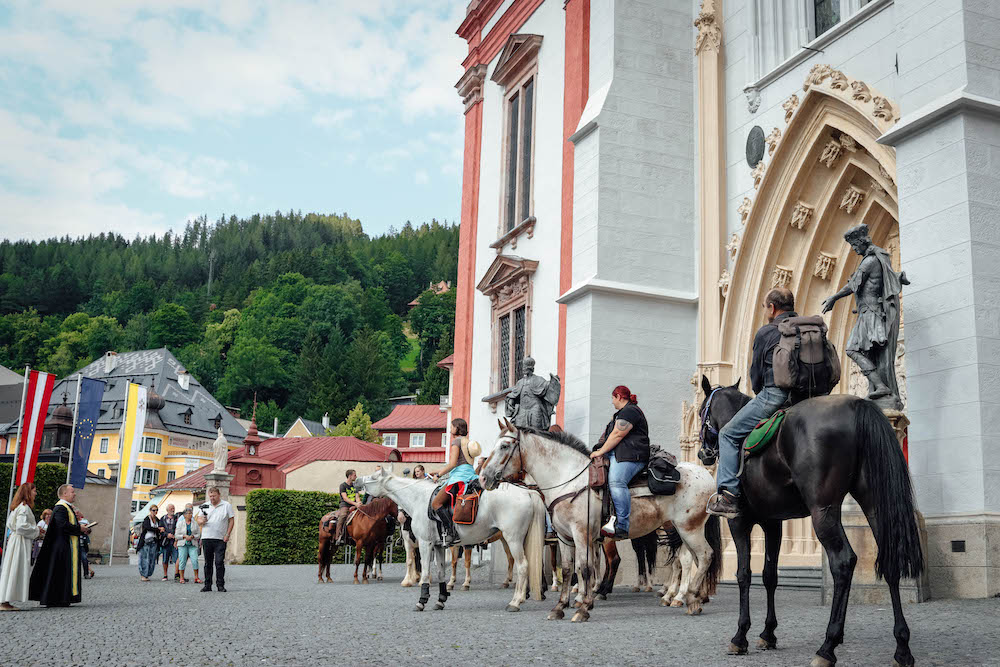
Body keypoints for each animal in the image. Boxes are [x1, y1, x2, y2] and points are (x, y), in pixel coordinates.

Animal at [358, 468, 548, 612]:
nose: (357, 481)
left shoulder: (425, 544)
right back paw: (522, 597)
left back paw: (515, 602)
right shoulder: (439, 546)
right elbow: (441, 572)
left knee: (522, 566)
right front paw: (440, 600)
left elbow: (425, 573)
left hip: (513, 539)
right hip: (521, 540)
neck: (419, 499)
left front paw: (422, 601)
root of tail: (527, 491)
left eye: (374, 477)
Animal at [482, 420, 720, 624]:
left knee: (703, 556)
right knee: (690, 559)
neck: (568, 480)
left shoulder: (582, 534)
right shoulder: (564, 538)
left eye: (504, 445)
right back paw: (690, 598)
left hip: (689, 529)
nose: (484, 478)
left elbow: (585, 568)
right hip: (680, 531)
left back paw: (688, 597)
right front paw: (560, 607)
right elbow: (568, 570)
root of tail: (706, 475)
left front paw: (584, 607)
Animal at [696, 376, 920, 667]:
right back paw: (902, 648)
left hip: (822, 511)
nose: (703, 454)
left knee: (843, 562)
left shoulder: (739, 522)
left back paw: (827, 647)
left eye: (701, 412)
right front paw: (768, 634)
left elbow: (744, 575)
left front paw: (740, 636)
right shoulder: (773, 523)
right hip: (874, 504)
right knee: (889, 558)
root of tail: (857, 405)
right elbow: (769, 575)